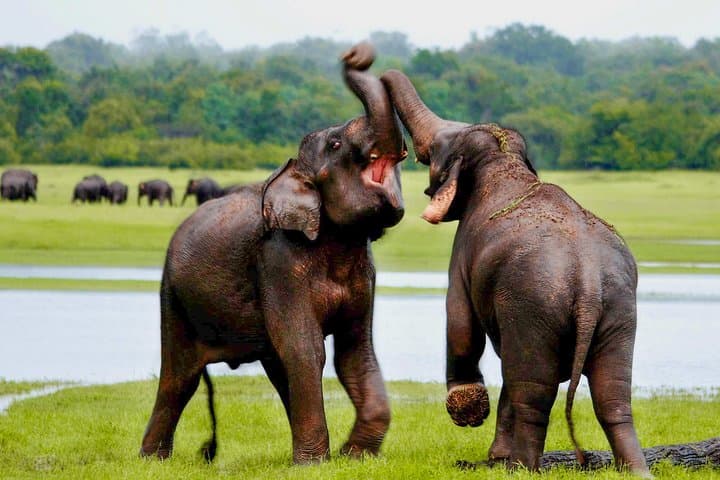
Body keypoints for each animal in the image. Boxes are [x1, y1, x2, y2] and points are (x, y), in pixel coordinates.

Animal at [140, 43, 407, 465]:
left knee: (276, 367)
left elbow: (355, 352)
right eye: (335, 144)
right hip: (173, 295)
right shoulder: (279, 261)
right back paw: (152, 460)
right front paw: (316, 464)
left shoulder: (366, 271)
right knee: (180, 377)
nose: (355, 53)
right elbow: (305, 348)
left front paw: (353, 455)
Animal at [381, 69, 651, 477]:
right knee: (612, 394)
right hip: (619, 309)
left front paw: (471, 417)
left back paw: (522, 467)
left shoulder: (462, 251)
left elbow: (460, 322)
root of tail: (587, 280)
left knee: (533, 389)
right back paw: (635, 470)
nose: (355, 58)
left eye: (437, 149)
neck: (504, 159)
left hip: (534, 304)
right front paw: (494, 455)